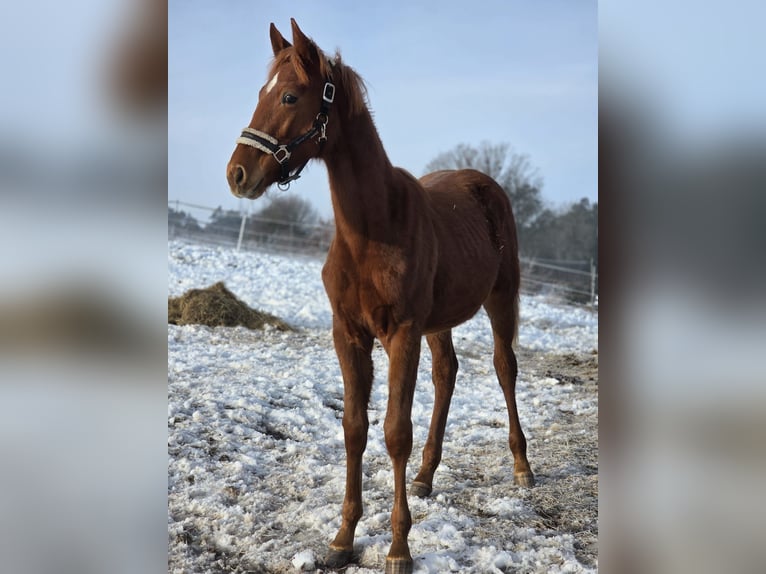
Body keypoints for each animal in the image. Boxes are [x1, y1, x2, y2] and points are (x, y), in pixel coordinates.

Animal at [226, 19, 534, 574]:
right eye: (261, 92)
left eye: (289, 95)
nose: (237, 174)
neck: (371, 231)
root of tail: (485, 185)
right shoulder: (349, 334)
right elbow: (354, 428)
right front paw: (342, 538)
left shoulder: (401, 334)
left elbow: (394, 432)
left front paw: (398, 547)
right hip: (440, 323)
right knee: (447, 374)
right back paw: (427, 477)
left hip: (499, 300)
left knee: (504, 368)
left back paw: (522, 467)